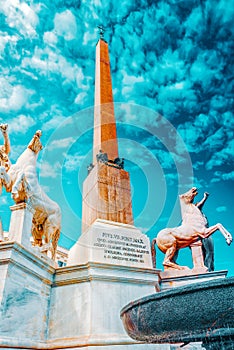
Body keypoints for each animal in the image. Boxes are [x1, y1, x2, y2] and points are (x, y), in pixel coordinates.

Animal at [0, 131, 61, 260]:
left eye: (39, 141)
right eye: (36, 136)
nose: (38, 132)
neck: (24, 164)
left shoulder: (29, 189)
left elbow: (21, 176)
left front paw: (15, 191)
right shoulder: (8, 182)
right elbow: (3, 170)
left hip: (49, 226)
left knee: (48, 245)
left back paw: (37, 251)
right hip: (36, 228)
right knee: (42, 244)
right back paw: (37, 251)